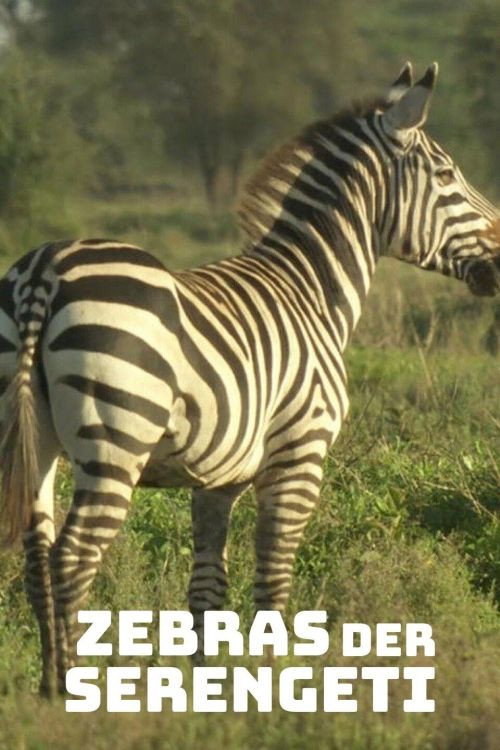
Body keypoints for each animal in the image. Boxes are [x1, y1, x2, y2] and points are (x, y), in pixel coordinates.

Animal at [0, 62, 499, 697]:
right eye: (447, 175)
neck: (311, 289)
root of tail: (44, 267)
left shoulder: (216, 479)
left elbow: (206, 589)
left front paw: (209, 689)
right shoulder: (300, 454)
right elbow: (273, 579)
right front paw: (275, 687)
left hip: (32, 439)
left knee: (37, 560)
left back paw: (45, 691)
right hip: (117, 438)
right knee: (72, 558)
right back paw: (71, 690)